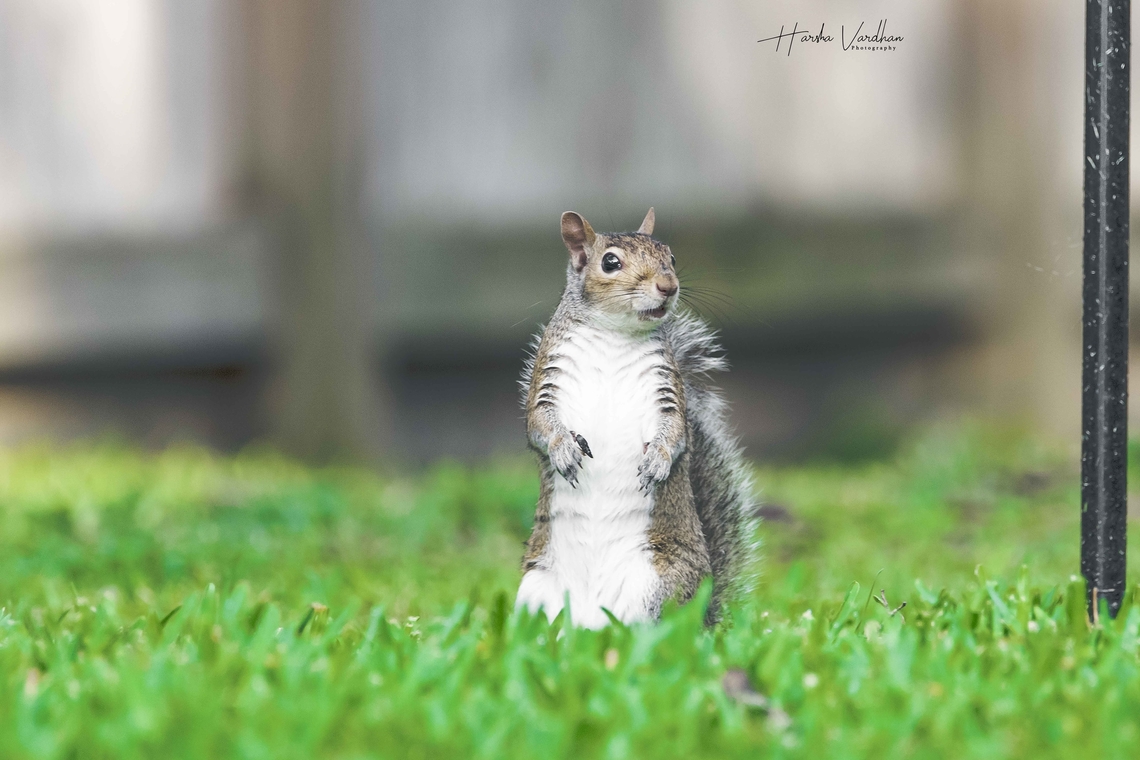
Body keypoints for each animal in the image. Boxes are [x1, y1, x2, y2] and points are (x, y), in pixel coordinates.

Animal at [515, 208, 756, 628]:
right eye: (610, 262)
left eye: (671, 257)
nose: (668, 286)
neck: (616, 333)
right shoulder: (547, 383)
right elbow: (539, 426)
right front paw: (563, 450)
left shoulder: (667, 392)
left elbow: (676, 434)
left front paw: (656, 462)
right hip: (534, 592)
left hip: (656, 585)